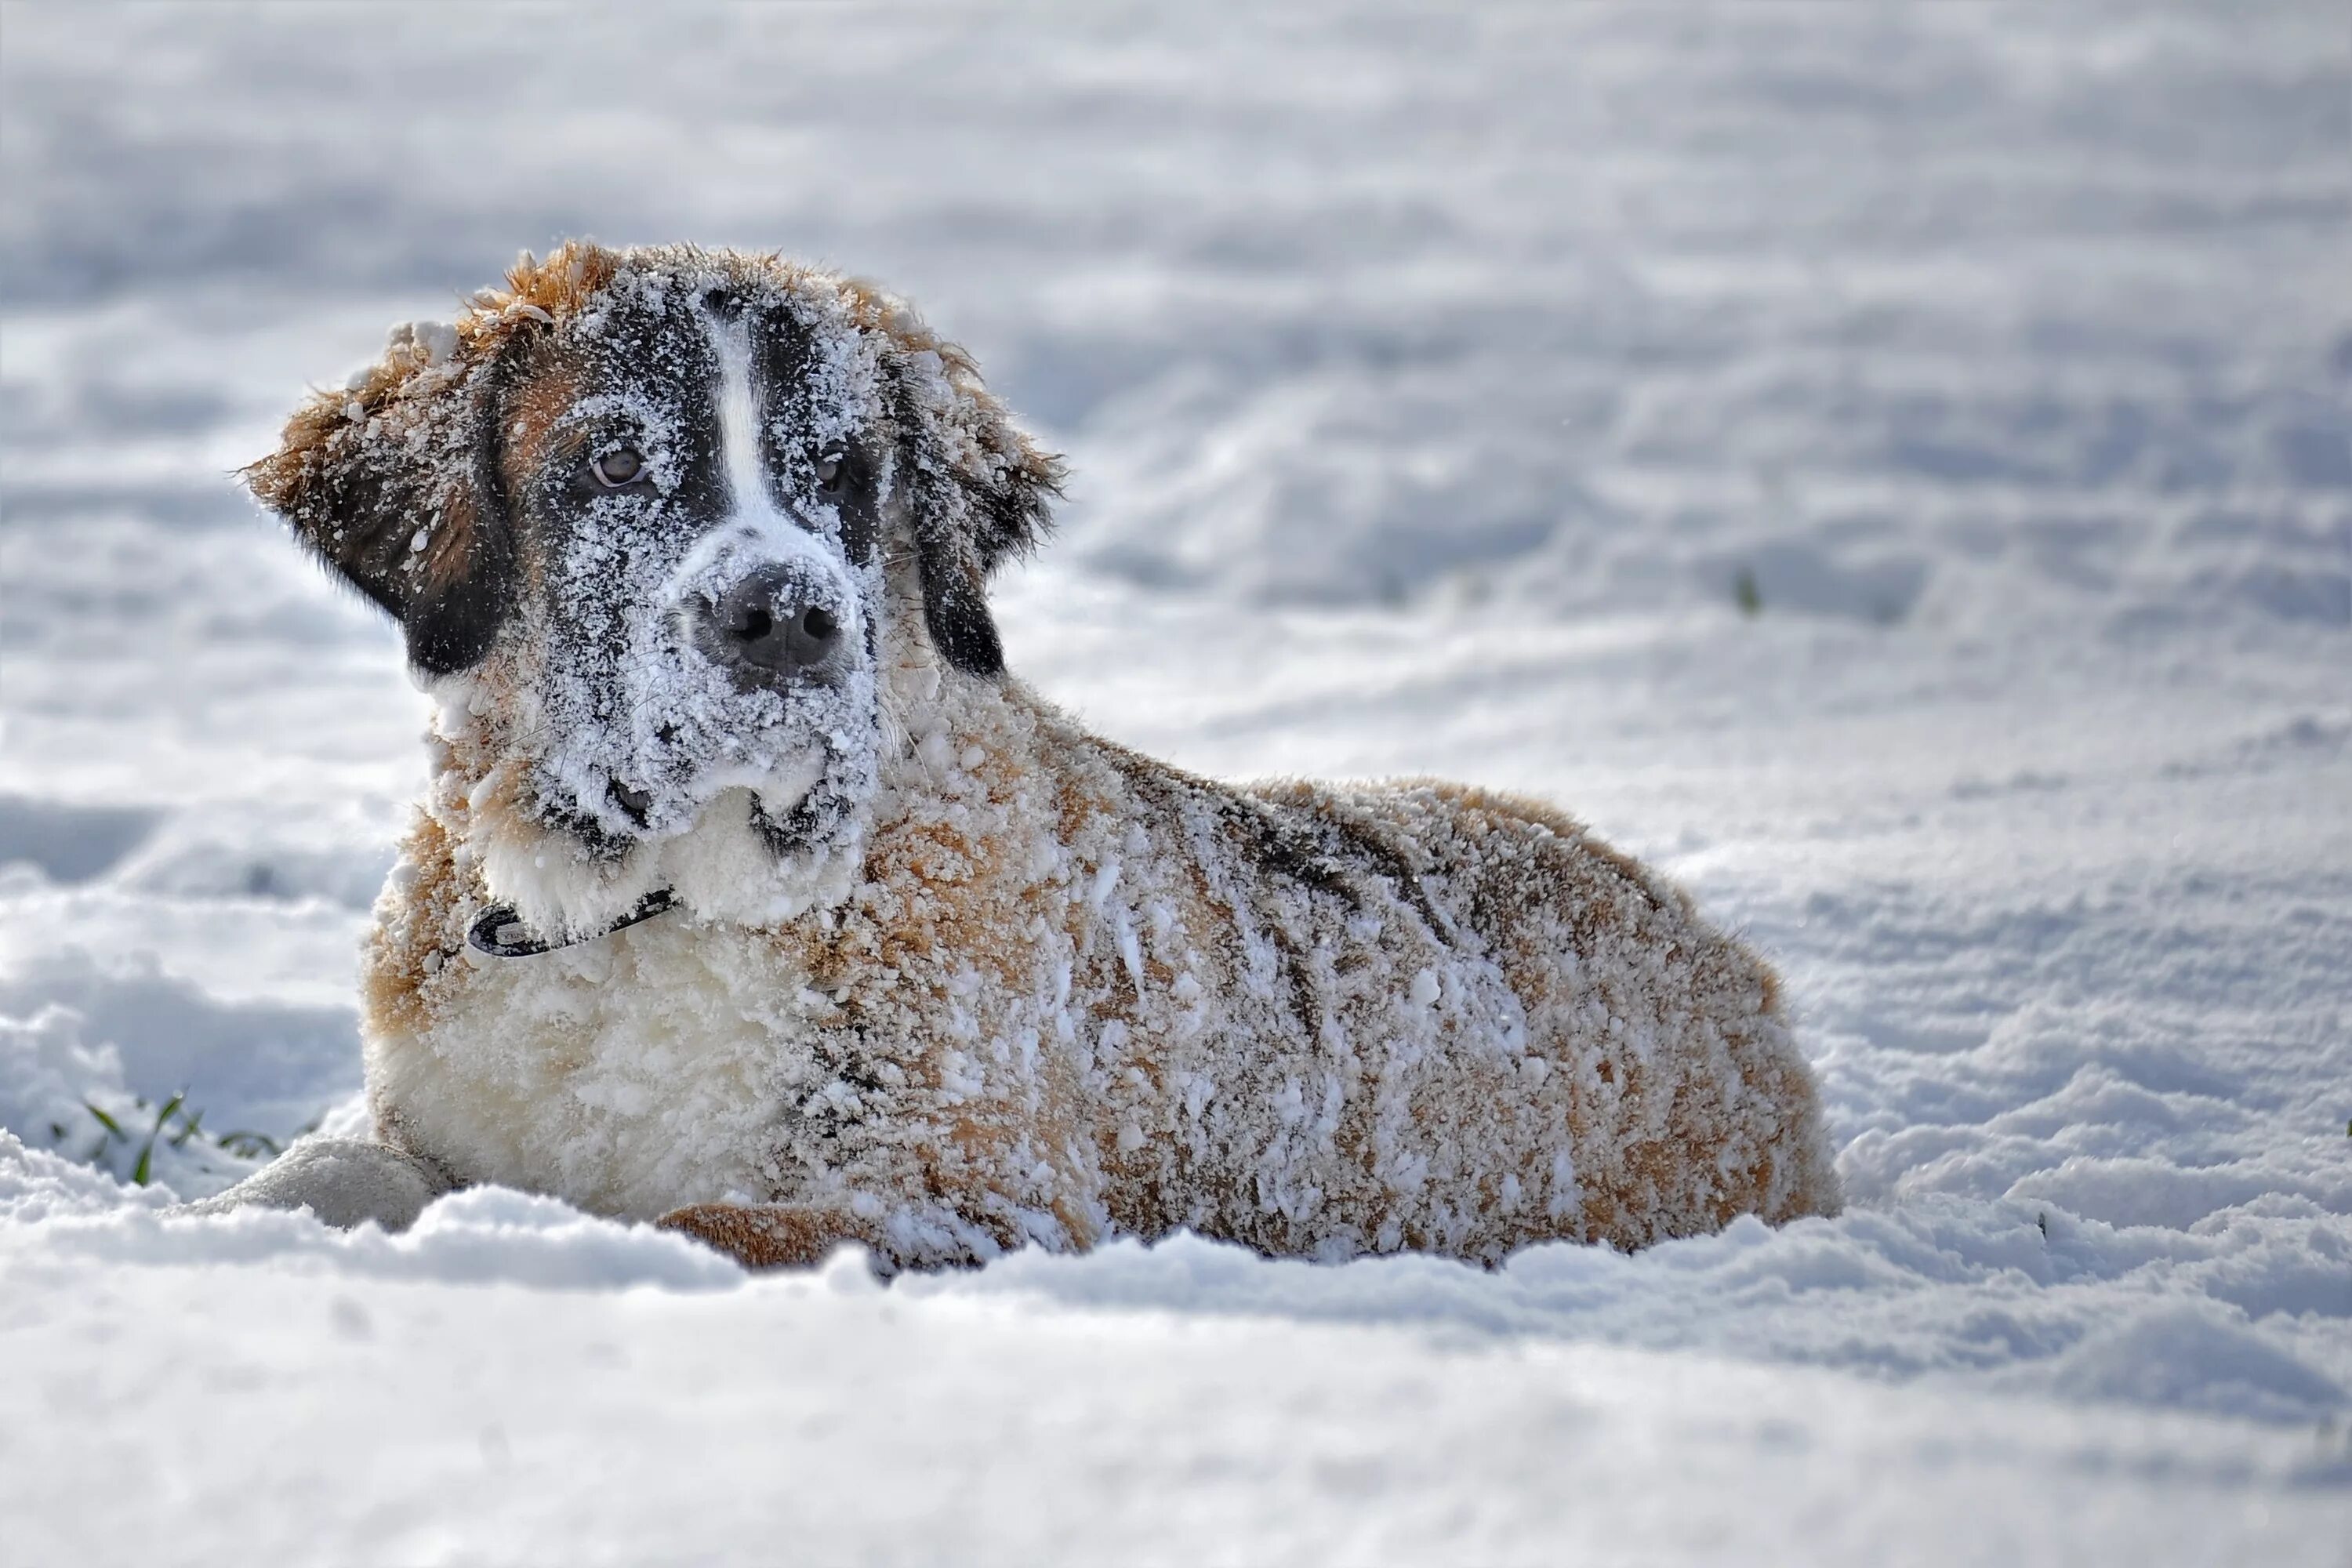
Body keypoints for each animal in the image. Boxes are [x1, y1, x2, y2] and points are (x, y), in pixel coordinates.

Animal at [207, 245, 1835, 1269]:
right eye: (612, 460)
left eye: (851, 476)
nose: (786, 618)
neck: (641, 913)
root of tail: (1723, 960)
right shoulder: (426, 1109)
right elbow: (318, 1174)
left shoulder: (970, 1202)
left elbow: (695, 1223)